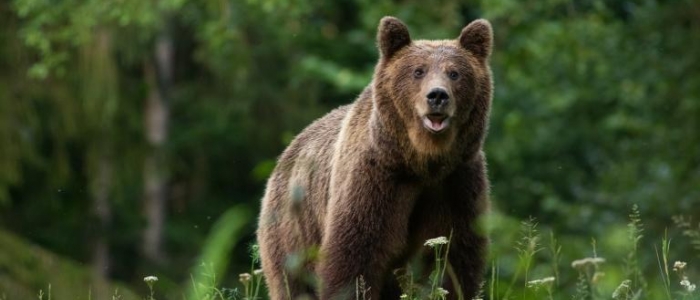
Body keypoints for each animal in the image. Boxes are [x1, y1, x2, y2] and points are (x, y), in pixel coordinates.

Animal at [258, 17, 492, 300]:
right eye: (418, 71)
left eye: (454, 73)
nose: (437, 96)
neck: (422, 161)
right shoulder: (376, 178)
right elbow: (355, 256)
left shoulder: (456, 182)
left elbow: (456, 257)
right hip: (292, 228)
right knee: (292, 282)